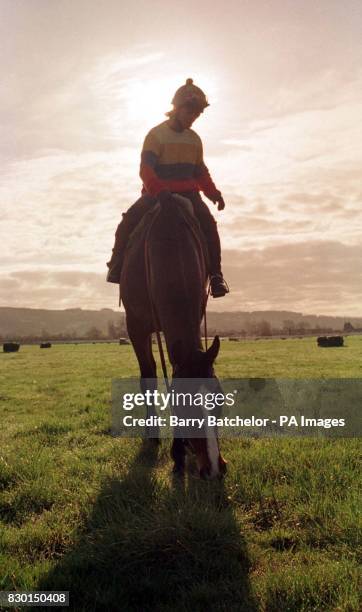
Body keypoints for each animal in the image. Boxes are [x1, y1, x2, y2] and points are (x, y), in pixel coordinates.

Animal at [121, 195, 228, 478]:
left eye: (220, 398)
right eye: (183, 403)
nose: (215, 468)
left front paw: (181, 450)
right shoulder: (136, 327)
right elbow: (149, 377)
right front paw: (173, 449)